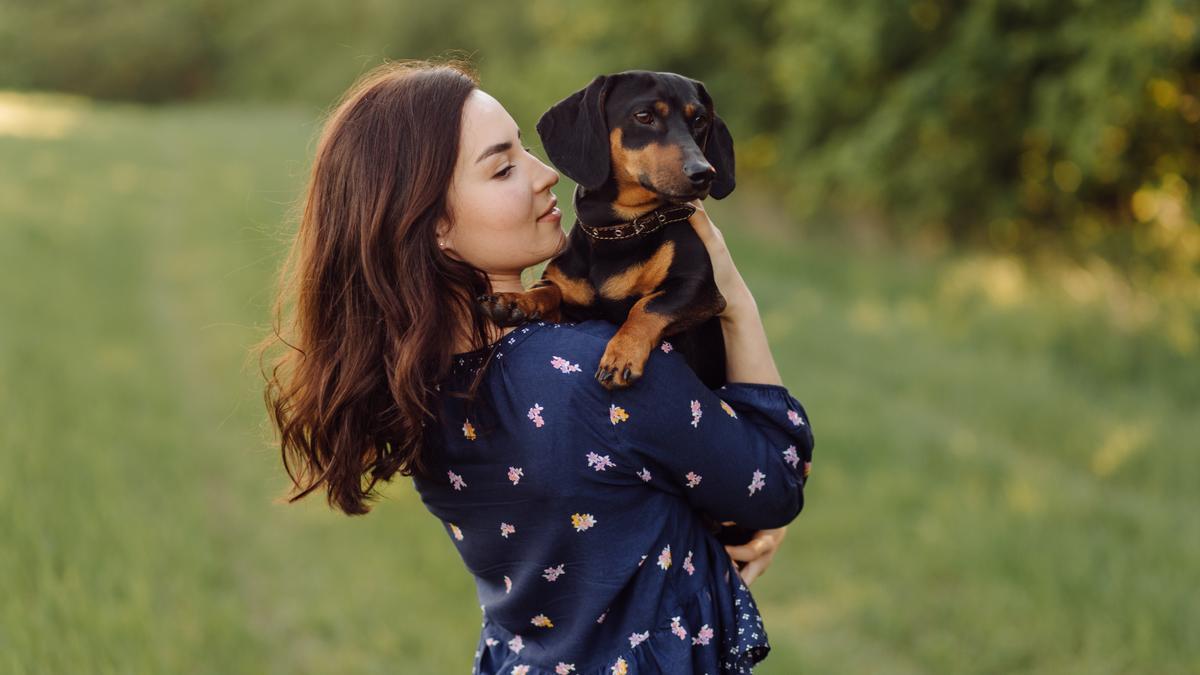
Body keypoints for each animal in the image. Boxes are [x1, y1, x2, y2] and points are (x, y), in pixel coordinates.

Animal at [475, 69, 729, 389]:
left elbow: (647, 305)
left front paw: (623, 353)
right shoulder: (571, 310)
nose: (704, 173)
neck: (621, 231)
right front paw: (514, 301)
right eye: (644, 116)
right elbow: (549, 290)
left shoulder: (699, 289)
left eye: (700, 120)